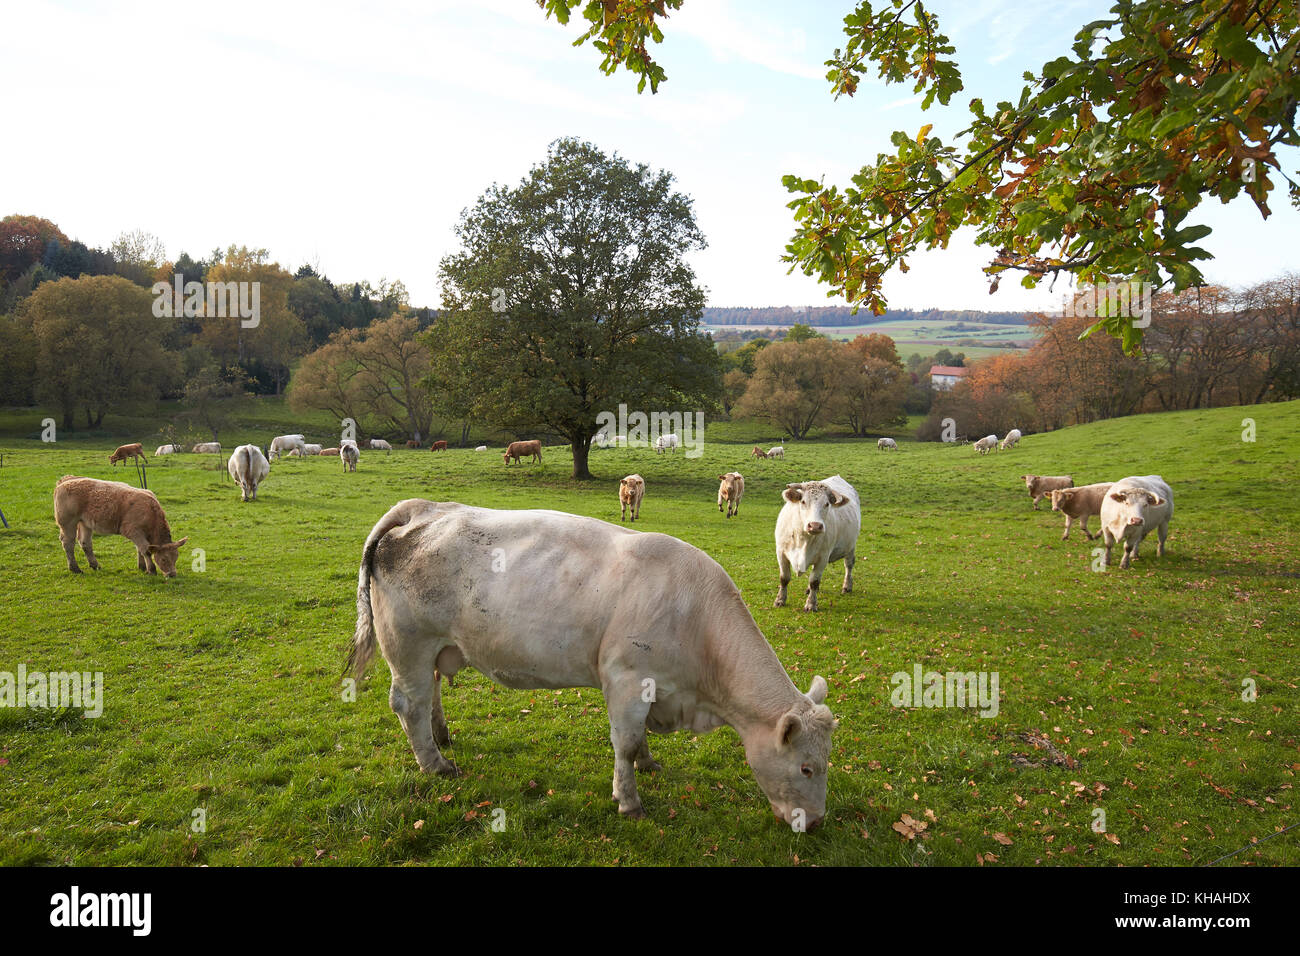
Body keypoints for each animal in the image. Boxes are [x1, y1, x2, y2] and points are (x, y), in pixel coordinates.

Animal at [53, 476, 188, 574]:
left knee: (85, 543)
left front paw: (142, 567)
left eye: (176, 557)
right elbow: (145, 550)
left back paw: (95, 565)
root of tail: (66, 480)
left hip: (85, 523)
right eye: (164, 559)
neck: (151, 511)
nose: (172, 574)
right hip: (68, 522)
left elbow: (139, 549)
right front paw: (151, 570)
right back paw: (75, 568)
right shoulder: (133, 531)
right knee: (68, 543)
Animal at [345, 502, 837, 832]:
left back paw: (442, 736)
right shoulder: (626, 679)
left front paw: (649, 763)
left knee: (429, 692)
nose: (815, 822)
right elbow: (624, 743)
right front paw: (629, 800)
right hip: (408, 644)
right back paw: (436, 764)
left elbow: (638, 741)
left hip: (433, 647)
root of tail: (422, 510)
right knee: (408, 704)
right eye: (806, 768)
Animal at [769, 473, 863, 613]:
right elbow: (784, 578)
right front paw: (780, 600)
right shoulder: (781, 552)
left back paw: (847, 586)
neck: (803, 539)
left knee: (849, 565)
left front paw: (811, 604)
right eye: (803, 501)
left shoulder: (823, 557)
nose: (815, 525)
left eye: (827, 504)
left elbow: (814, 580)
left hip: (851, 546)